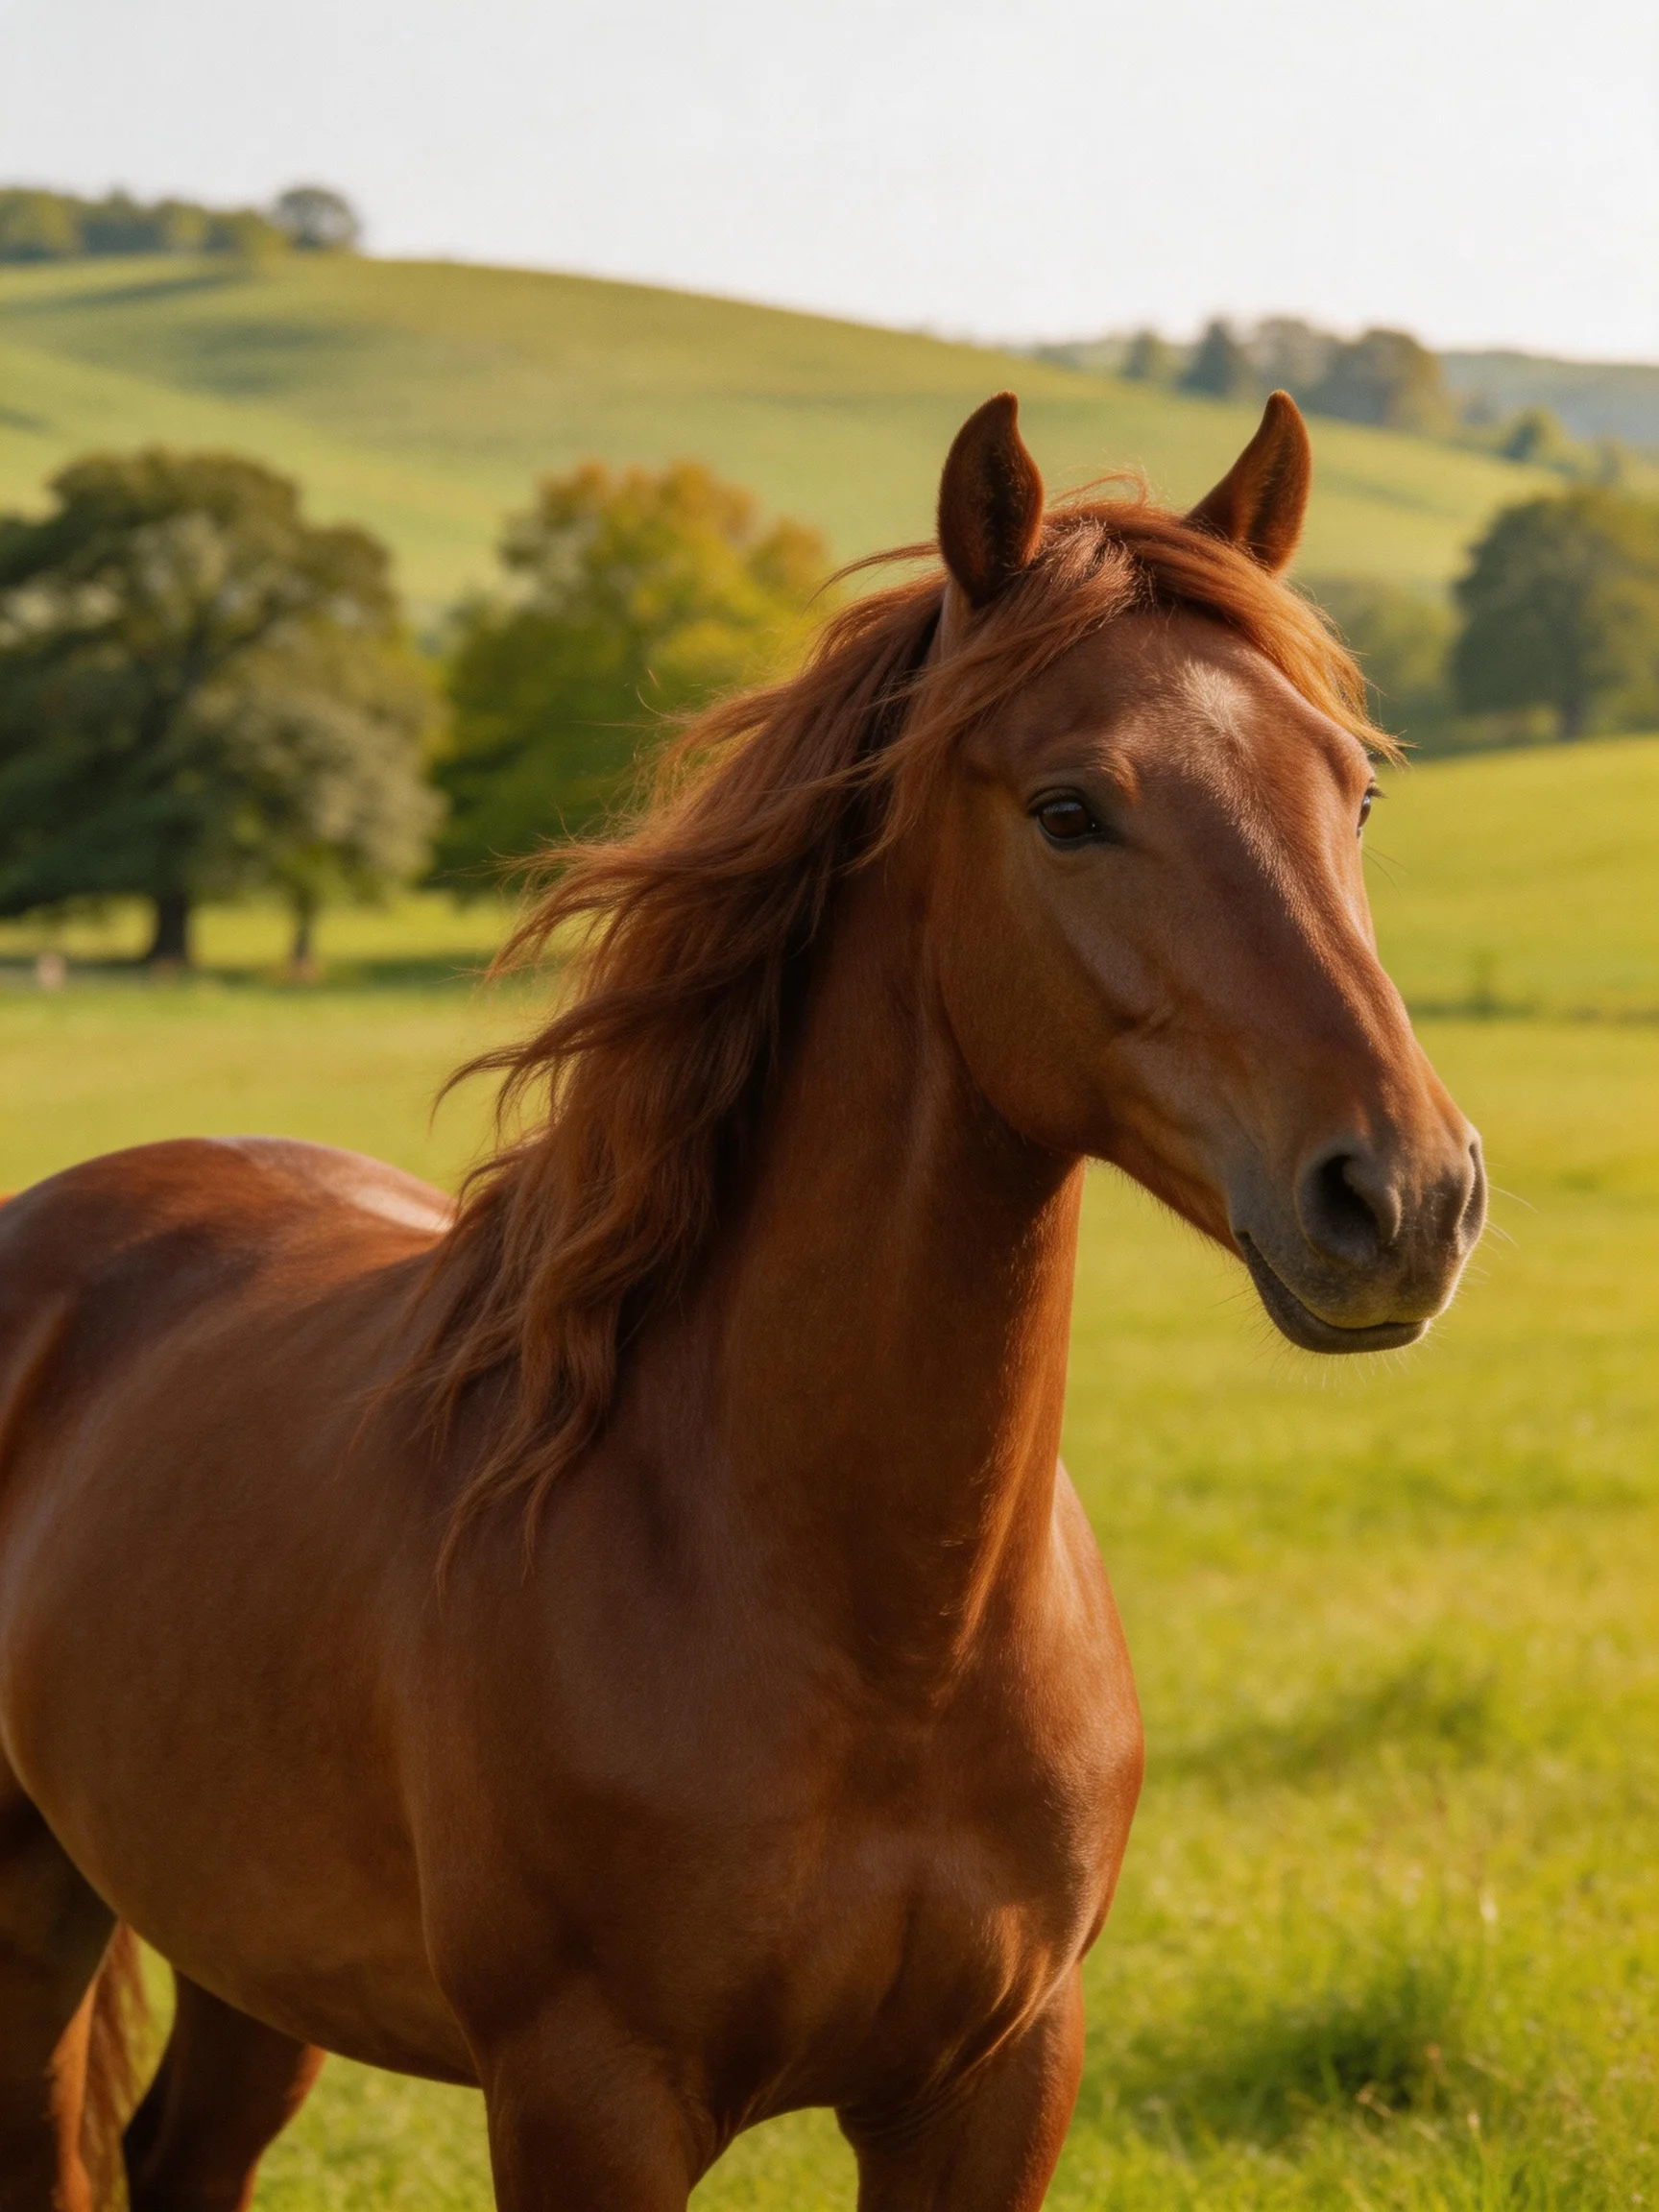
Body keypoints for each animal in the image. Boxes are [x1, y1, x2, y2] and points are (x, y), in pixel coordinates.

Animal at [0, 390, 1485, 2212]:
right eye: (1069, 808)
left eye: (1353, 791)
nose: (1403, 1196)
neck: (868, 1625)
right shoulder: (589, 2101)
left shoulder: (993, 2087)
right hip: (30, 1920)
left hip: (246, 1947)